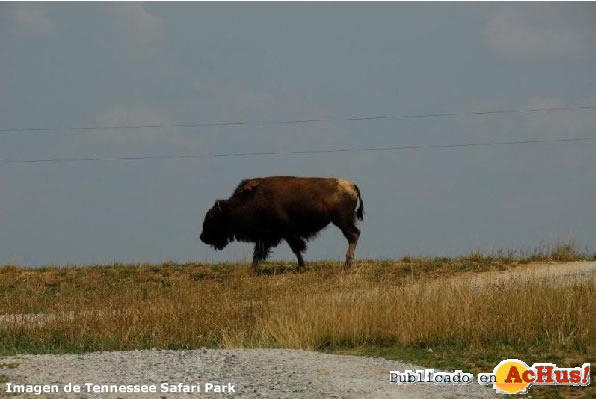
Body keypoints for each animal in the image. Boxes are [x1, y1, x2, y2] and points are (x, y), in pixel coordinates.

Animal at [199, 177, 364, 274]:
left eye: (212, 218)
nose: (202, 237)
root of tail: (352, 186)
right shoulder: (264, 237)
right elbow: (257, 254)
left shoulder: (285, 233)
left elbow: (295, 249)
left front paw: (301, 268)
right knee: (354, 235)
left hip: (342, 221)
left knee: (353, 235)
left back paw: (346, 265)